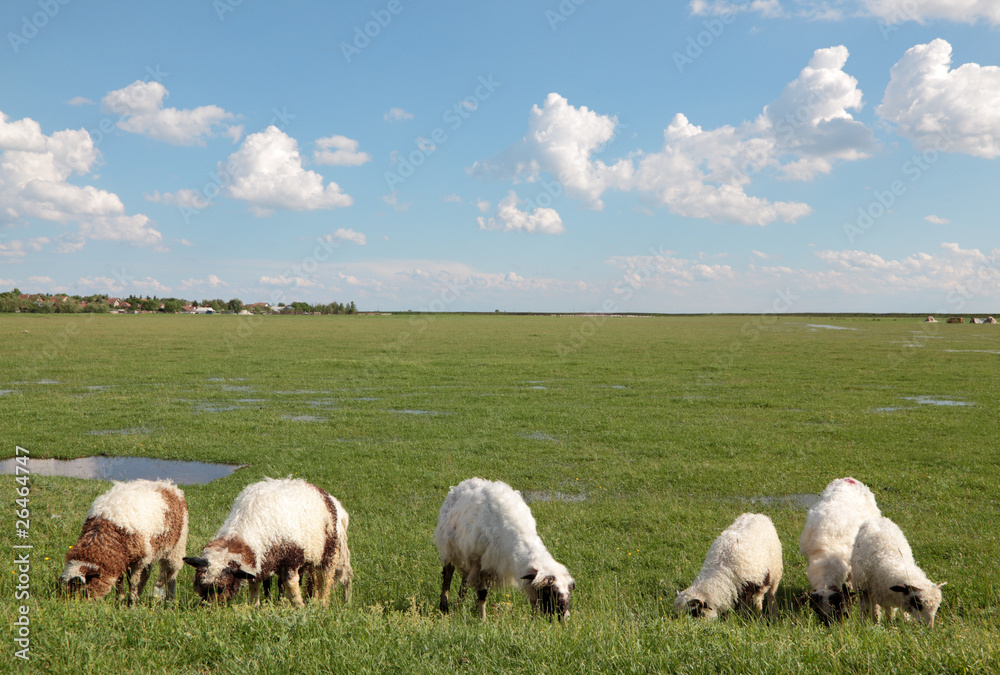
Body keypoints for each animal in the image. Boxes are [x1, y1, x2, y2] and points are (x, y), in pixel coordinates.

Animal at [183, 477, 352, 607]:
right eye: (200, 587)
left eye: (222, 587)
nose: (209, 609)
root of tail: (332, 500)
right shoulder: (261, 559)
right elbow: (256, 584)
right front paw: (256, 606)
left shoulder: (291, 558)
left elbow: (291, 585)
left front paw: (299, 607)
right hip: (311, 557)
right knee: (313, 579)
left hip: (330, 551)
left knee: (327, 578)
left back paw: (324, 603)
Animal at [435, 477, 575, 621]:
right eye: (549, 591)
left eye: (569, 593)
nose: (565, 619)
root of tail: (465, 483)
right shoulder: (478, 561)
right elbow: (482, 592)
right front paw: (483, 620)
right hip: (449, 547)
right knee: (448, 573)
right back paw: (445, 606)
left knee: (465, 579)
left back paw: (459, 604)